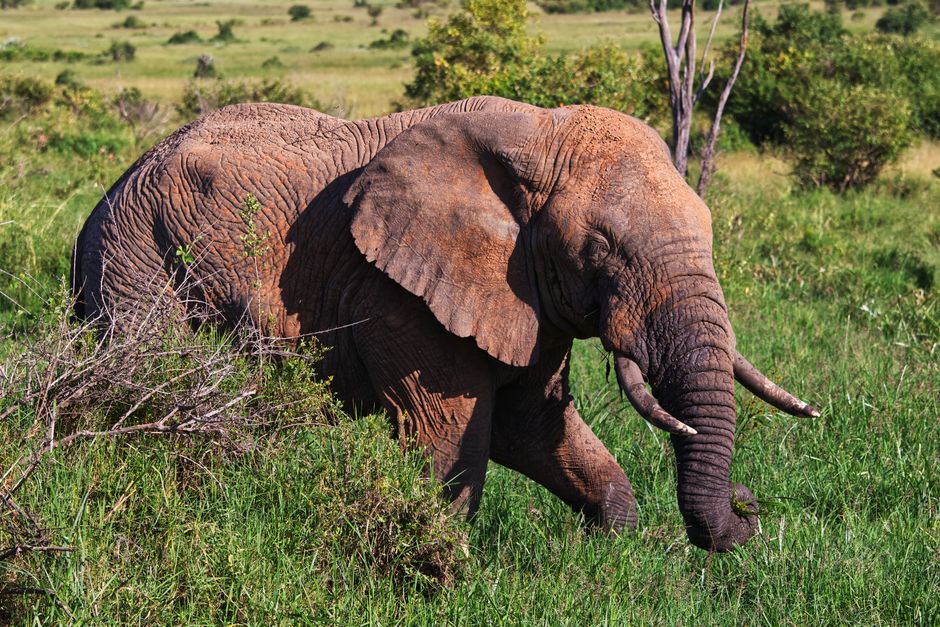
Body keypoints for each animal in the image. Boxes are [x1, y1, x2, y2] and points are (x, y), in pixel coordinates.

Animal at [71, 95, 818, 552]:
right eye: (600, 249)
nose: (749, 508)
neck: (537, 133)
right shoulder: (398, 294)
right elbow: (455, 433)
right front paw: (442, 564)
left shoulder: (525, 296)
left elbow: (533, 424)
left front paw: (615, 543)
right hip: (135, 262)